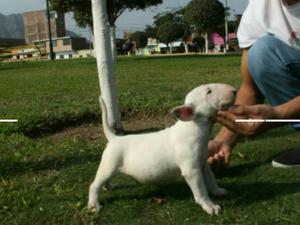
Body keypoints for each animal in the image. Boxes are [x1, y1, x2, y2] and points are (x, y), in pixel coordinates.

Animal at [88, 83, 236, 215]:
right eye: (209, 92)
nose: (234, 90)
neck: (193, 128)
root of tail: (114, 138)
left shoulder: (203, 163)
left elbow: (210, 178)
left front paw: (218, 191)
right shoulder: (192, 170)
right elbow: (201, 190)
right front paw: (210, 206)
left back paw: (109, 186)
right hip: (109, 164)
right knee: (94, 184)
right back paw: (94, 205)